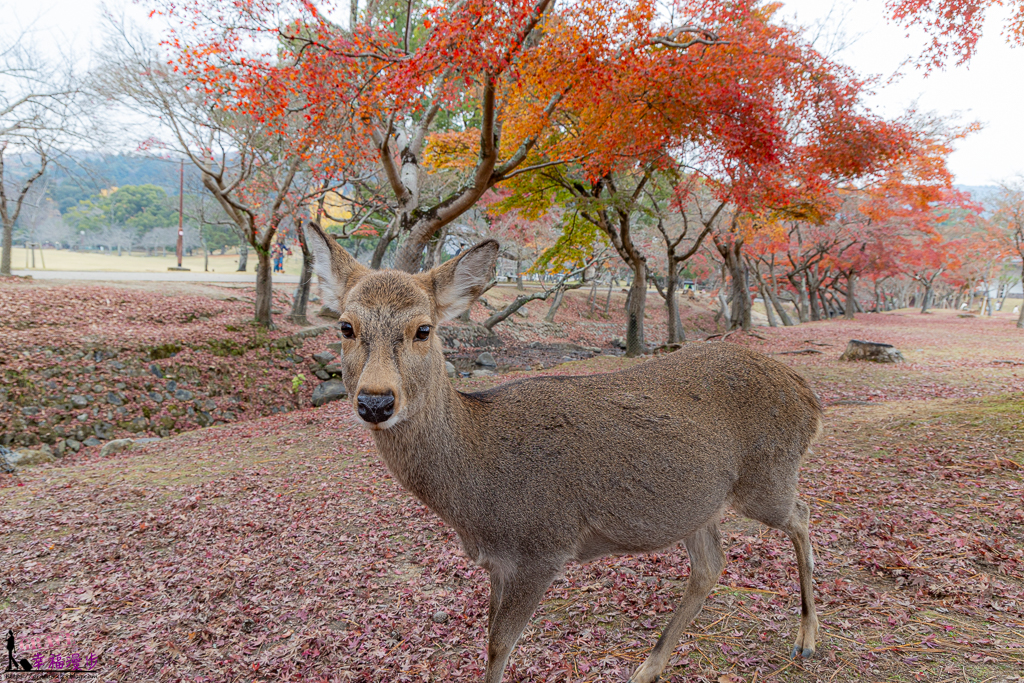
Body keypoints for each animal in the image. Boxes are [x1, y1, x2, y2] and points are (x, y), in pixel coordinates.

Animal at [305, 225, 824, 683]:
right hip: (699, 505)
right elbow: (490, 642)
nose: (375, 402)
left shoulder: (542, 548)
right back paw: (648, 667)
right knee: (711, 565)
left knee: (801, 513)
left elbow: (499, 647)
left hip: (767, 478)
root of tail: (808, 394)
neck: (473, 497)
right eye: (345, 326)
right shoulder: (497, 563)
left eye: (424, 329)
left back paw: (806, 639)